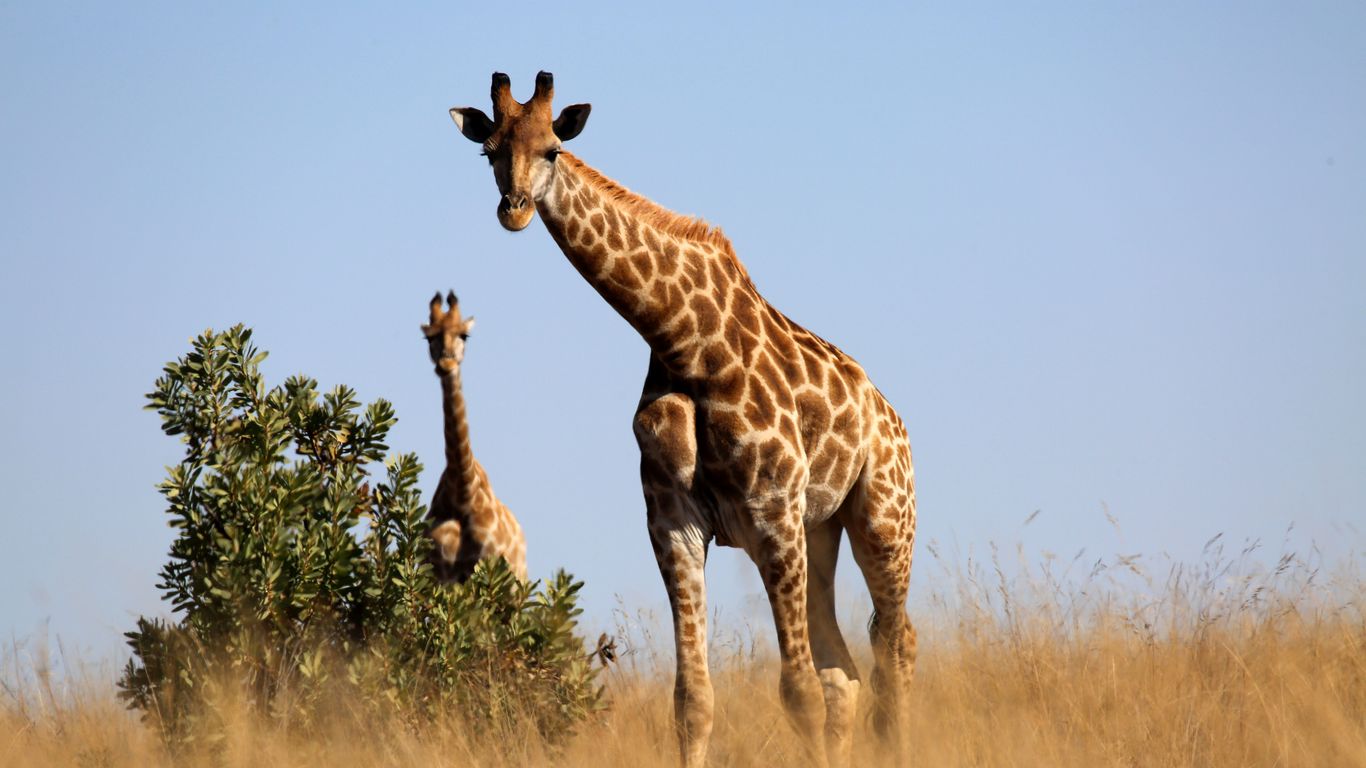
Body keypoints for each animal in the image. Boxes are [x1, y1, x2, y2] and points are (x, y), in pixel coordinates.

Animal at [422, 290, 527, 583]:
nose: (446, 364)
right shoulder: (439, 575)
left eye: (464, 335)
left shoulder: (489, 568)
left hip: (517, 582)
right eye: (429, 337)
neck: (462, 494)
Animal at [450, 73, 917, 767]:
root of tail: (892, 419)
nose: (515, 208)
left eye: (553, 149)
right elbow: (693, 701)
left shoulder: (771, 514)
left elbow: (797, 691)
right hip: (821, 531)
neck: (682, 343)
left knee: (894, 646)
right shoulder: (674, 521)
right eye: (489, 153)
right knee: (847, 671)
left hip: (882, 520)